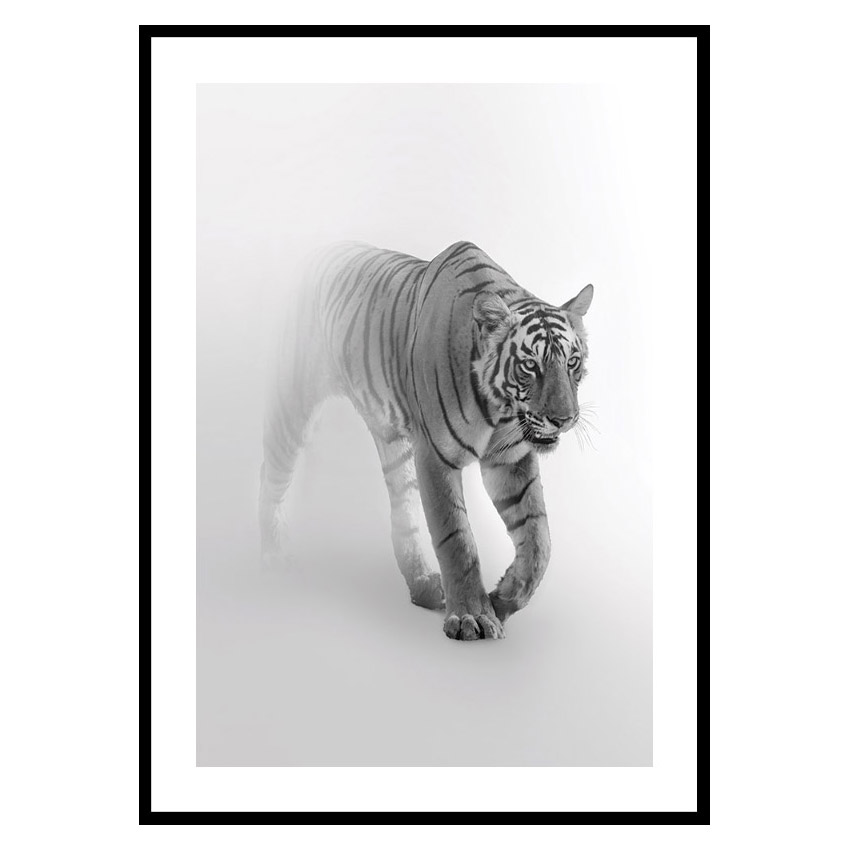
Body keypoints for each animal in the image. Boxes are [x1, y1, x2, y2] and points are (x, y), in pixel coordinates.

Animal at [259, 240, 593, 640]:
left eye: (572, 362)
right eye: (530, 366)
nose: (564, 419)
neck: (499, 411)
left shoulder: (509, 459)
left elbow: (539, 538)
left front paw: (503, 598)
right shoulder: (436, 455)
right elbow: (457, 539)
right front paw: (471, 616)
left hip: (395, 444)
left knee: (403, 513)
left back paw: (423, 586)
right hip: (294, 402)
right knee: (271, 475)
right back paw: (272, 556)